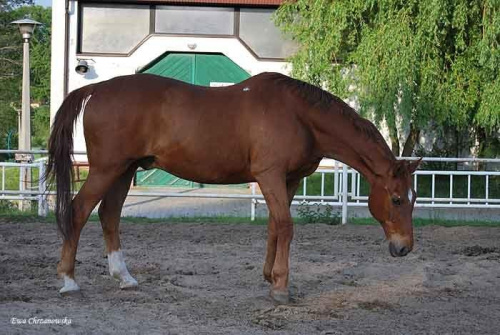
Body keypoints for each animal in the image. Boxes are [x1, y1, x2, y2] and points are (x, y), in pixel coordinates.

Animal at [47, 73, 422, 304]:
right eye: (396, 198)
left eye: (414, 198)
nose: (404, 248)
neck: (299, 115)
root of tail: (97, 88)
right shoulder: (270, 175)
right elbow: (286, 226)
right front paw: (282, 288)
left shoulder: (289, 180)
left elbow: (275, 227)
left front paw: (270, 277)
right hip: (106, 170)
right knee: (79, 212)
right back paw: (68, 281)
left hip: (124, 171)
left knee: (109, 216)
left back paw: (124, 277)